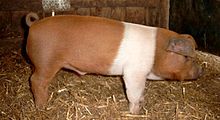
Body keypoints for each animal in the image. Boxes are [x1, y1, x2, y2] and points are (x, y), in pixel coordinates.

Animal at [24, 12, 202, 114]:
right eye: (187, 57)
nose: (201, 71)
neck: (157, 52)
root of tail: (34, 24)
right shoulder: (133, 73)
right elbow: (134, 94)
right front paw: (135, 112)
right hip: (46, 62)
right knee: (36, 81)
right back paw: (42, 106)